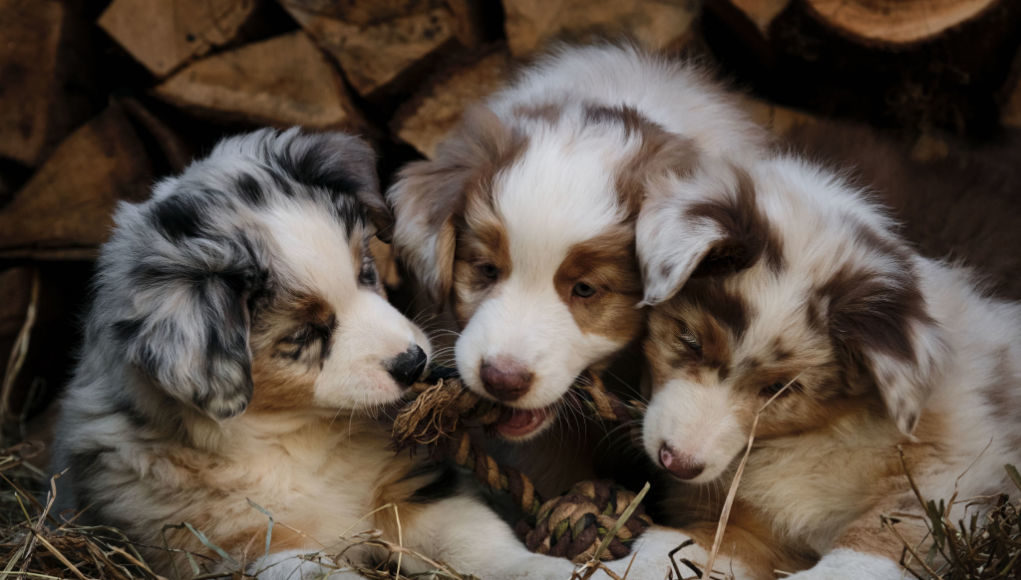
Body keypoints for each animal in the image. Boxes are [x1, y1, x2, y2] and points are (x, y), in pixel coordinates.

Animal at [51, 128, 608, 580]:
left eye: (366, 272)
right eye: (305, 335)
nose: (414, 364)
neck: (296, 437)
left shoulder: (409, 487)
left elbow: (479, 540)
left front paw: (553, 569)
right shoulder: (242, 549)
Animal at [637, 152, 1021, 575]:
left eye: (780, 389)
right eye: (689, 340)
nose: (678, 464)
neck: (826, 430)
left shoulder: (953, 471)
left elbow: (877, 541)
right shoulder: (745, 526)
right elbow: (673, 549)